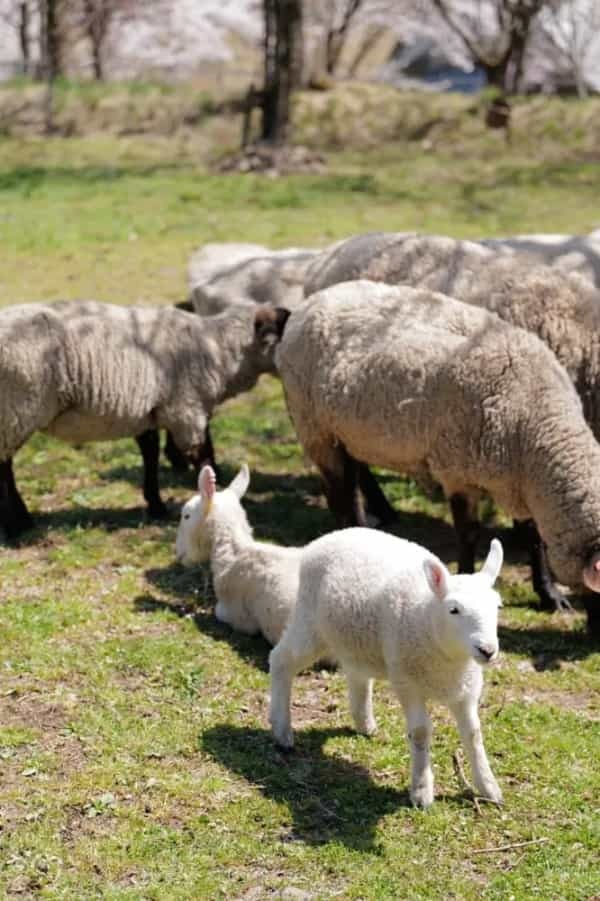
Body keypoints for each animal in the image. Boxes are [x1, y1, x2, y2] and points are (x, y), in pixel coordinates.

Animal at [0, 300, 290, 540]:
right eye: (284, 325)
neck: (215, 348)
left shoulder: (149, 411)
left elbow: (150, 454)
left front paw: (156, 504)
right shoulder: (187, 409)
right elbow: (205, 456)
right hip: (17, 409)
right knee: (4, 467)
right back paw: (19, 525)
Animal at [270, 528, 504, 808]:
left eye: (497, 607)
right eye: (454, 609)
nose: (488, 650)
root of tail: (329, 536)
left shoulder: (466, 689)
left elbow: (473, 734)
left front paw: (488, 787)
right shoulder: (407, 682)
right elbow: (421, 732)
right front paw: (422, 791)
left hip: (354, 638)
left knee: (356, 675)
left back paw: (365, 724)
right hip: (309, 622)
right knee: (280, 660)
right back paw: (282, 732)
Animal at [300, 229, 600, 616]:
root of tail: (330, 255)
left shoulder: (521, 476)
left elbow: (533, 533)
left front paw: (550, 594)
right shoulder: (466, 470)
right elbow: (474, 534)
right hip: (319, 427)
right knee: (342, 488)